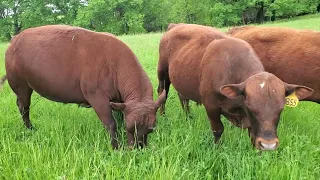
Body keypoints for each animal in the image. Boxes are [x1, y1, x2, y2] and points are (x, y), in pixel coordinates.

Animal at [1, 24, 168, 150]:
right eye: (130, 128)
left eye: (151, 130)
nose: (139, 148)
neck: (114, 64)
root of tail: (15, 39)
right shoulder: (97, 98)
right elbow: (111, 124)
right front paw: (116, 147)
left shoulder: (119, 101)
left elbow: (119, 119)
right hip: (21, 85)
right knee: (24, 107)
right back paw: (30, 128)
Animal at [156, 23, 314, 150]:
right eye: (251, 107)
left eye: (281, 108)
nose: (268, 145)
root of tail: (175, 25)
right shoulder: (211, 105)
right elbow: (218, 130)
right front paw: (218, 149)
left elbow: (253, 134)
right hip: (163, 73)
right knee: (163, 93)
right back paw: (163, 115)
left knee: (183, 98)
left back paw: (188, 116)